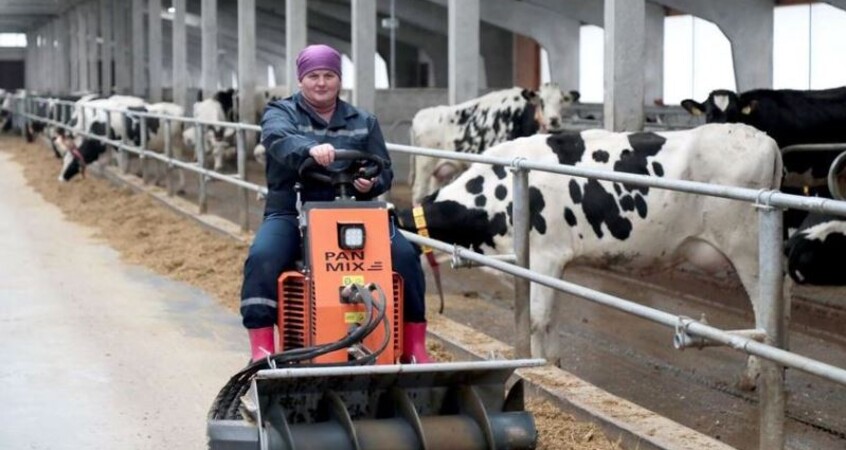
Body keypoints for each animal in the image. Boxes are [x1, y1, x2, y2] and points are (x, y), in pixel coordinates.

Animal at [400, 124, 784, 372]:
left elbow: (538, 319)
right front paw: (554, 364)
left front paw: (538, 367)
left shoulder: (545, 257)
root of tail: (764, 138)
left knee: (765, 312)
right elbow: (550, 317)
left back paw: (755, 373)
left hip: (748, 251)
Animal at [412, 83, 584, 203]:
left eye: (561, 101)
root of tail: (421, 114)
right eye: (542, 101)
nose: (554, 121)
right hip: (424, 164)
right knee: (418, 194)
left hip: (441, 170)